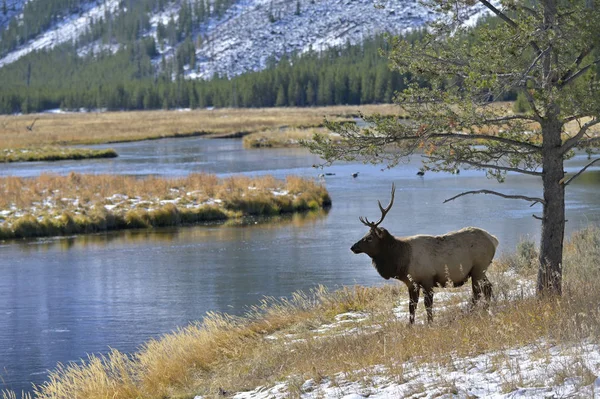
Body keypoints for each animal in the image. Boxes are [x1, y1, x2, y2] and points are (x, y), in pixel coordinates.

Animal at [352, 184, 496, 324]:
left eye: (369, 238)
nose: (353, 247)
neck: (401, 262)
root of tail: (494, 240)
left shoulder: (427, 278)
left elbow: (427, 304)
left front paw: (430, 323)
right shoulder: (411, 283)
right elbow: (412, 306)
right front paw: (410, 325)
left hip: (478, 267)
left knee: (478, 292)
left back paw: (472, 311)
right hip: (479, 270)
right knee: (488, 287)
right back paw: (486, 309)